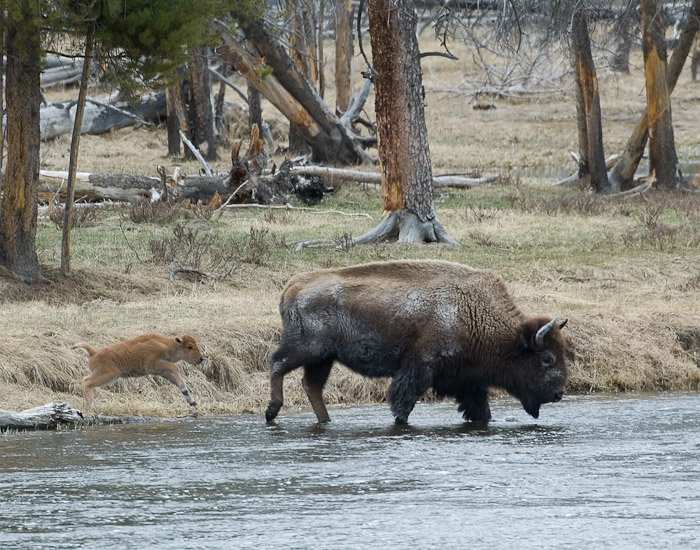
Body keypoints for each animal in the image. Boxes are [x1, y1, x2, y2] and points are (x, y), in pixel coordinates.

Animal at [266, 260, 568, 424]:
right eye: (547, 359)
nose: (558, 394)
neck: (471, 312)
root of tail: (292, 286)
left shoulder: (469, 382)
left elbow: (481, 410)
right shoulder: (418, 369)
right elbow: (403, 404)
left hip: (323, 358)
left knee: (311, 385)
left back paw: (325, 421)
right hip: (307, 349)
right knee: (277, 364)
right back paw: (271, 411)